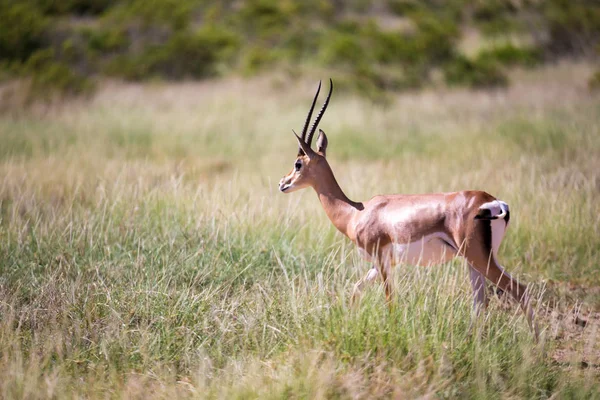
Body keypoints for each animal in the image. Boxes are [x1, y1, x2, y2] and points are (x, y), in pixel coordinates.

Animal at [282, 79, 540, 338]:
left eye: (298, 163)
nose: (283, 183)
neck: (355, 213)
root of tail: (492, 201)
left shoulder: (382, 260)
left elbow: (389, 300)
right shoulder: (380, 264)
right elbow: (356, 290)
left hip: (479, 258)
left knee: (520, 291)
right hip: (476, 261)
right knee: (481, 302)